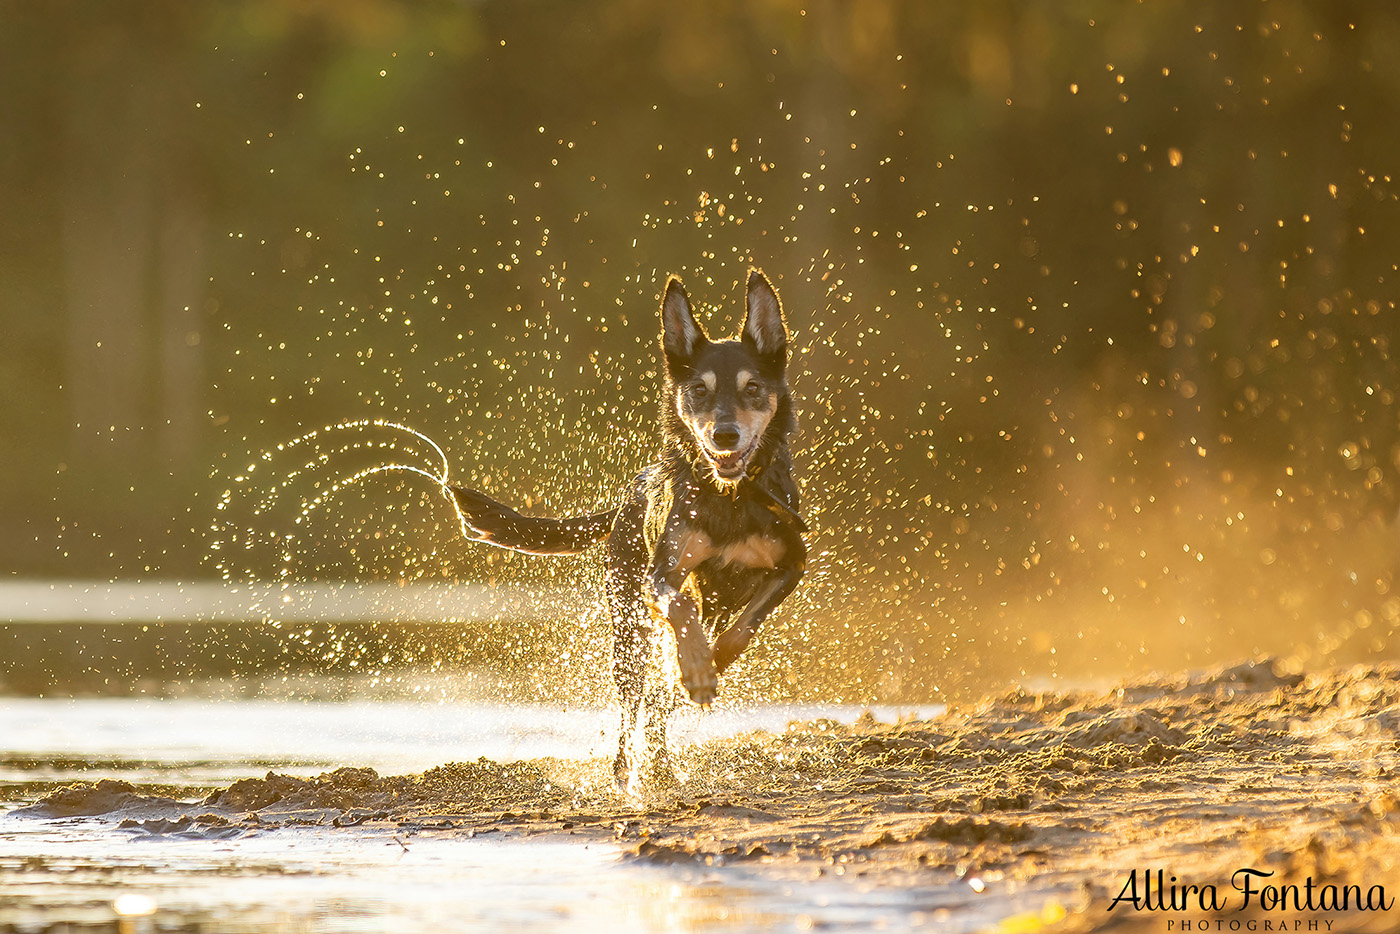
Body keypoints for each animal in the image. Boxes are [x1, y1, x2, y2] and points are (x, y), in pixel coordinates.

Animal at [453, 270, 806, 789]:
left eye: (753, 387)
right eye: (699, 390)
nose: (724, 435)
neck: (731, 497)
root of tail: (628, 498)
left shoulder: (791, 564)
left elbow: (743, 629)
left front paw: (710, 664)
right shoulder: (663, 575)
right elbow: (682, 608)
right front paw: (698, 666)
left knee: (659, 700)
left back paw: (662, 760)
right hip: (629, 626)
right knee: (633, 704)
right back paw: (628, 769)